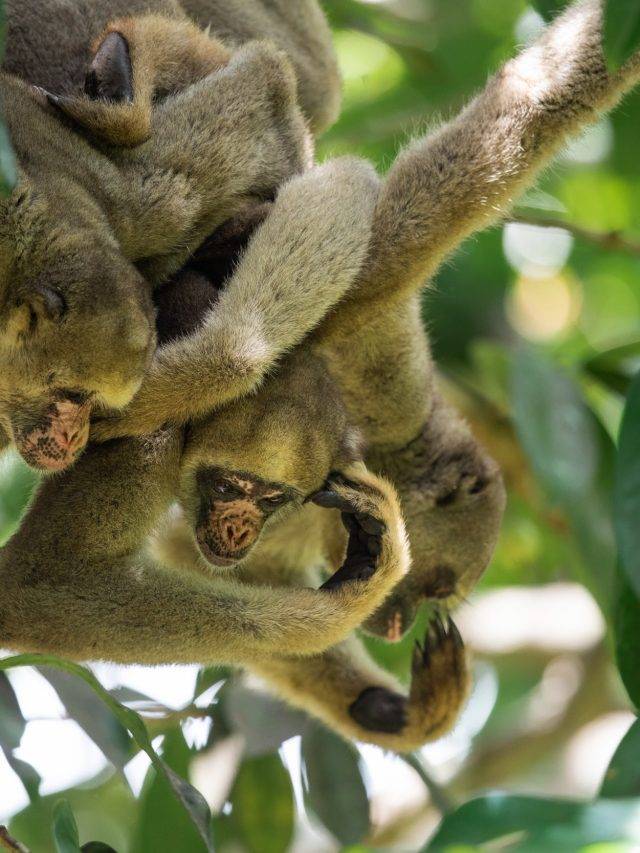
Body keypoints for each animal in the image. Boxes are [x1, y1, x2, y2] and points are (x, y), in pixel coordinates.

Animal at [0, 0, 341, 471]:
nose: (72, 438)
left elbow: (269, 78)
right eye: (70, 395)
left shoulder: (133, 214)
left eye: (92, 404)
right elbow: (270, 80)